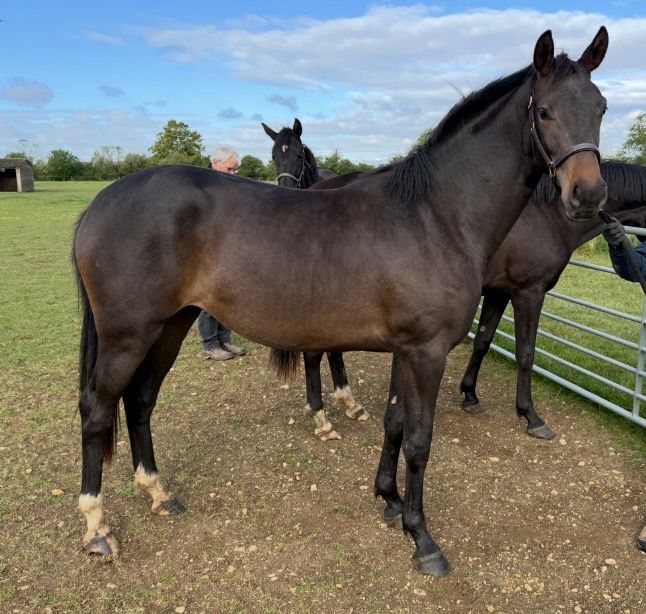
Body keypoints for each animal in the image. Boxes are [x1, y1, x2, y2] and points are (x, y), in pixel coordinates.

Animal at [459, 161, 646, 438]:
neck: (549, 219)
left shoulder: (498, 292)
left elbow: (483, 340)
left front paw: (470, 395)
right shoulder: (529, 294)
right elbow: (526, 353)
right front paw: (530, 416)